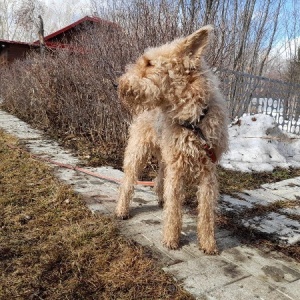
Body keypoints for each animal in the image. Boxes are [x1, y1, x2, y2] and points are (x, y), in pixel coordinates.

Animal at [116, 26, 229, 255]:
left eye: (149, 63)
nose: (120, 84)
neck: (193, 121)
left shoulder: (208, 173)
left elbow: (206, 212)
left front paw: (208, 243)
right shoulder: (177, 170)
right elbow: (175, 209)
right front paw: (171, 239)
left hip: (164, 157)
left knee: (159, 178)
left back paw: (160, 198)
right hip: (138, 153)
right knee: (128, 183)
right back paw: (122, 210)